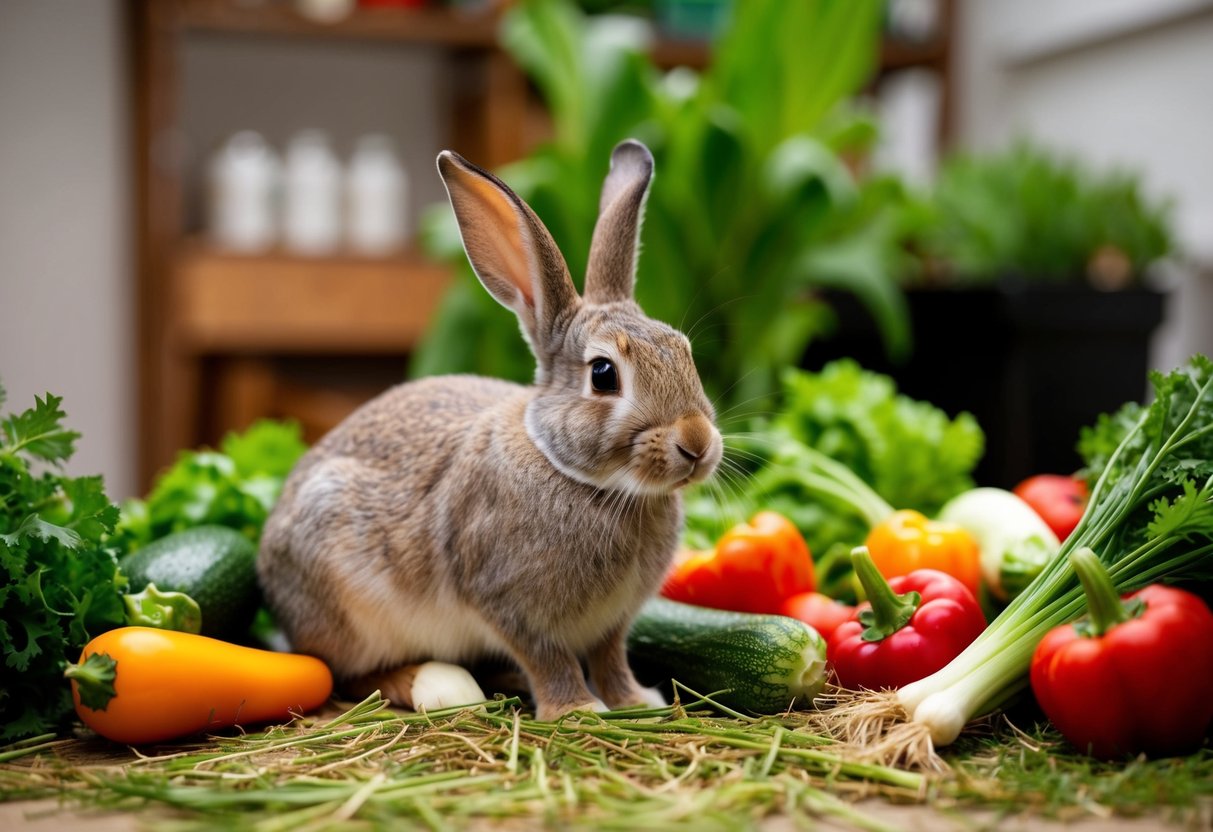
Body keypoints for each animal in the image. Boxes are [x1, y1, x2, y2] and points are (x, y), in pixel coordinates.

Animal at [257, 139, 723, 721]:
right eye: (603, 374)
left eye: (684, 350)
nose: (697, 444)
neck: (587, 480)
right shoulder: (506, 602)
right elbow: (549, 658)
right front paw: (577, 710)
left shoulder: (611, 624)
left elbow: (610, 657)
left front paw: (636, 701)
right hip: (349, 608)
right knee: (348, 674)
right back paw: (424, 682)